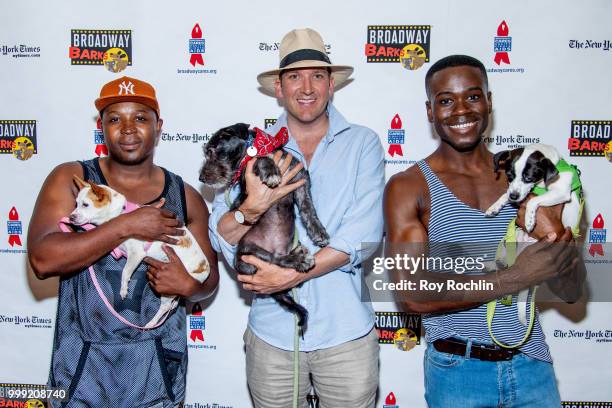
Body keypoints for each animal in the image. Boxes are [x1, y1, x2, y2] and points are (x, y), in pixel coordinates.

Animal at [69, 175, 210, 328]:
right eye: (76, 204)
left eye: (85, 205)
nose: (71, 217)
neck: (120, 213)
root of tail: (204, 269)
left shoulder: (136, 254)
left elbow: (125, 271)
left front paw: (124, 289)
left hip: (170, 288)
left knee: (165, 307)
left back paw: (151, 323)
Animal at [200, 123, 330, 328]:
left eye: (212, 151)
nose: (201, 178)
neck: (262, 146)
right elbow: (258, 159)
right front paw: (271, 172)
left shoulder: (301, 182)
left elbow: (309, 209)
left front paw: (319, 232)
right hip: (249, 253)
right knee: (275, 259)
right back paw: (298, 259)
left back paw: (298, 252)